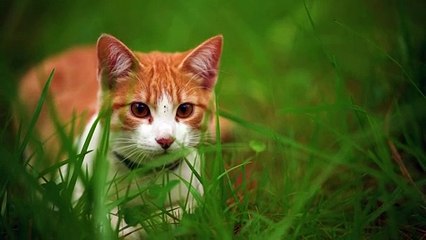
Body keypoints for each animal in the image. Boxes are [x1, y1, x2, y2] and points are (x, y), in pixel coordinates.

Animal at [17, 33, 226, 238]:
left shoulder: (198, 193)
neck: (147, 175)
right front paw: (127, 228)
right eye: (139, 109)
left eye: (184, 110)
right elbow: (93, 215)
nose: (165, 140)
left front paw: (152, 223)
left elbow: (183, 213)